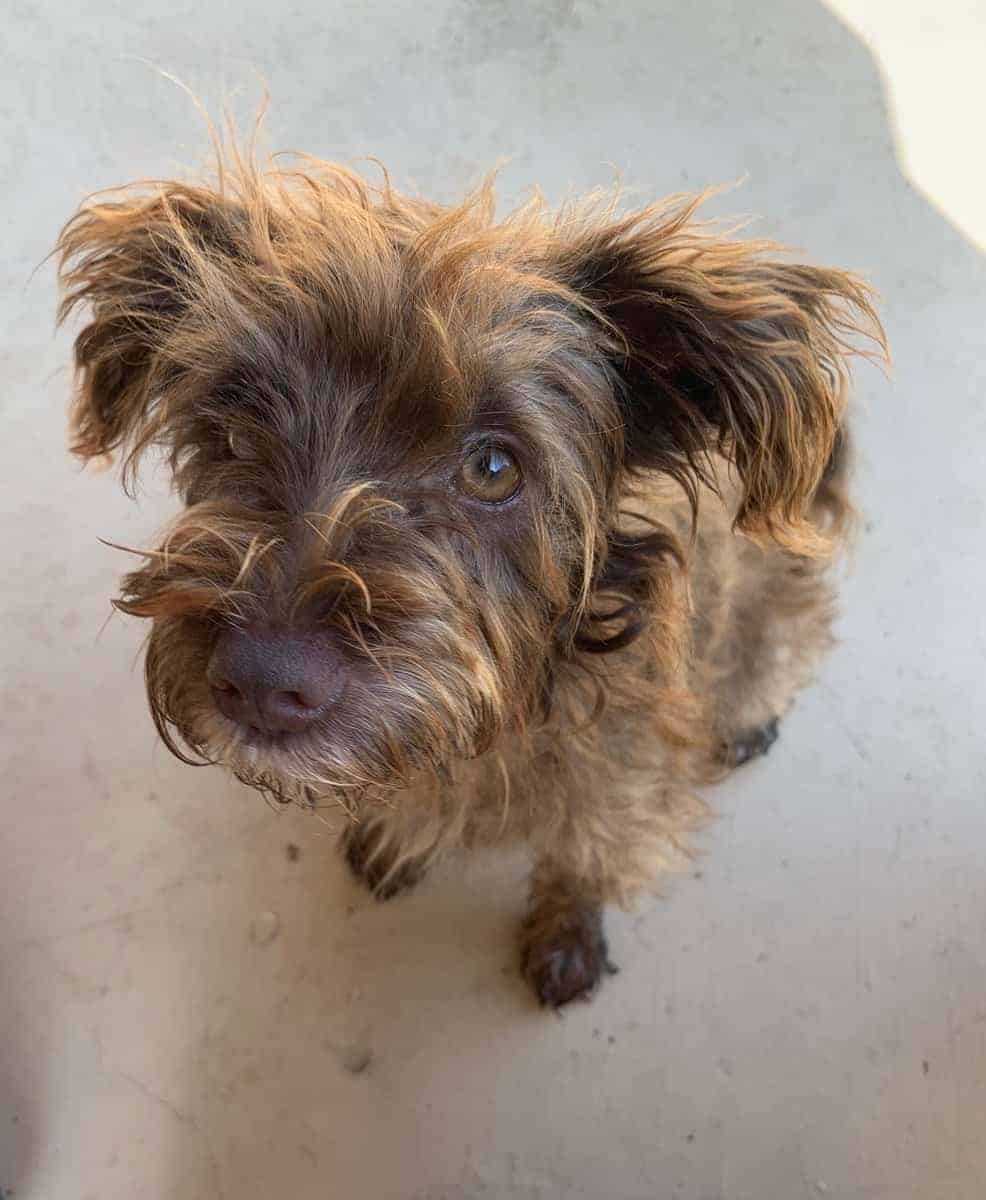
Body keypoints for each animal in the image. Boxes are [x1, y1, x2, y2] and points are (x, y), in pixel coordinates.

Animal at [56, 151, 883, 1007]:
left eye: (493, 467)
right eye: (231, 432)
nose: (260, 682)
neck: (504, 715)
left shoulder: (622, 782)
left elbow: (586, 856)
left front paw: (566, 932)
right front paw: (394, 836)